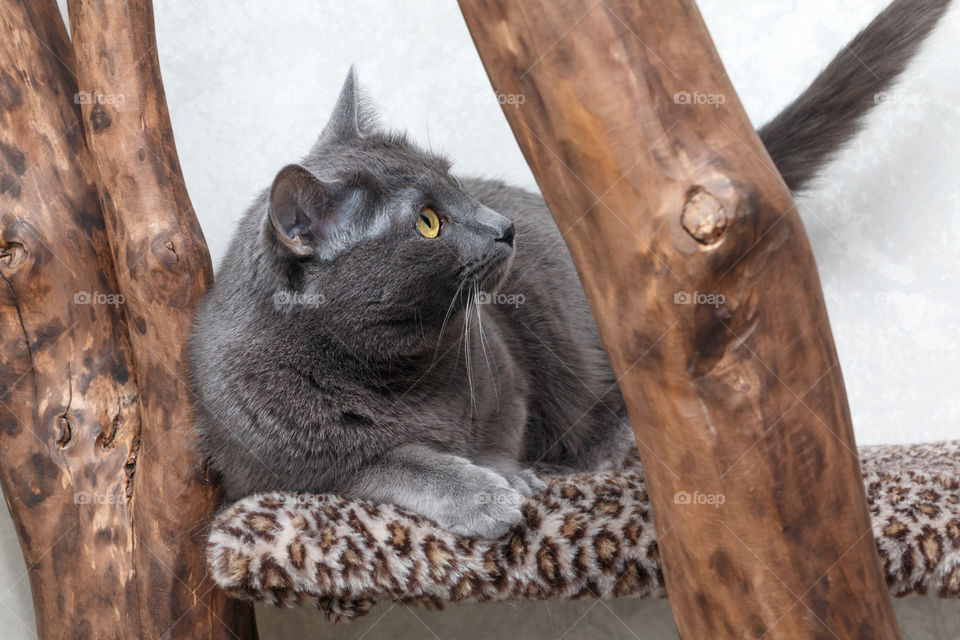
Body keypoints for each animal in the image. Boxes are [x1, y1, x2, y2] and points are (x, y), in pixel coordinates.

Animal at [188, 0, 944, 536]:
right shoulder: (272, 473)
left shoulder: (503, 369)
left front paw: (508, 479)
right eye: (428, 221)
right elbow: (388, 462)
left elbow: (498, 428)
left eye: (453, 180)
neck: (390, 376)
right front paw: (477, 494)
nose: (502, 227)